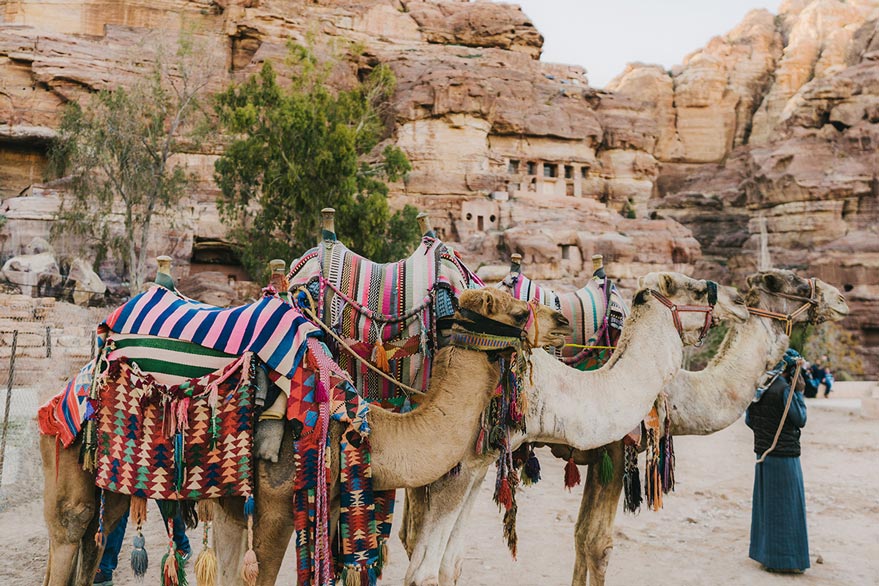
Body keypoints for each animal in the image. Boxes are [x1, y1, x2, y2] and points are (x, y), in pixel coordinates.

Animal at [39, 286, 572, 584]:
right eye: (518, 311)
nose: (563, 320)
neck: (359, 425)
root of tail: (67, 389)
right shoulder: (275, 506)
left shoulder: (272, 506)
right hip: (67, 462)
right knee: (68, 532)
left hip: (112, 487)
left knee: (94, 541)